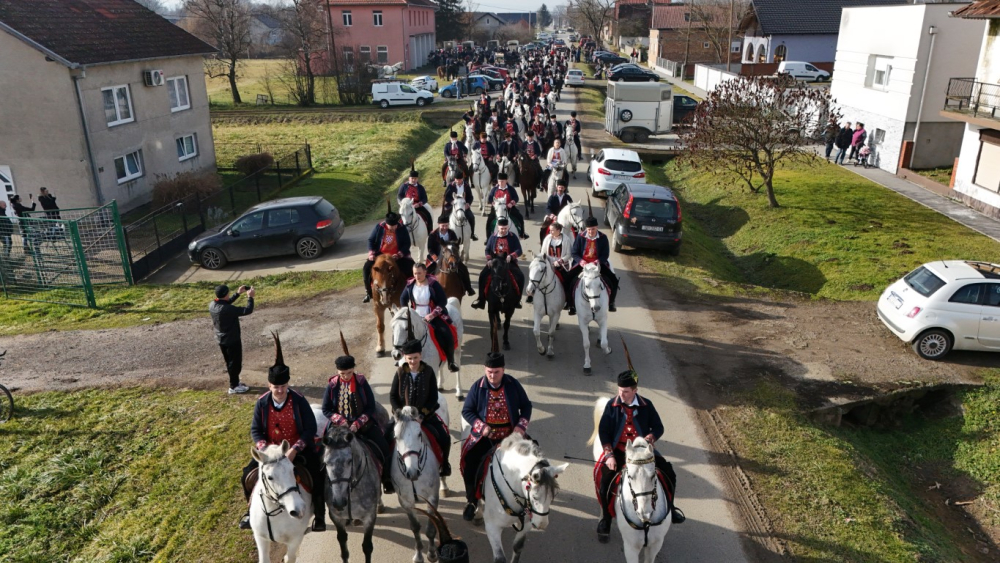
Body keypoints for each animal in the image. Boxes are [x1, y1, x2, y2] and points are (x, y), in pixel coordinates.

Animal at [392, 406, 452, 563]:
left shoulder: (432, 497)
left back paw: (445, 486)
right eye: (396, 437)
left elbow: (431, 528)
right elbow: (415, 527)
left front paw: (431, 554)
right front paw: (419, 555)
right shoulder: (405, 501)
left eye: (419, 434)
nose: (412, 472)